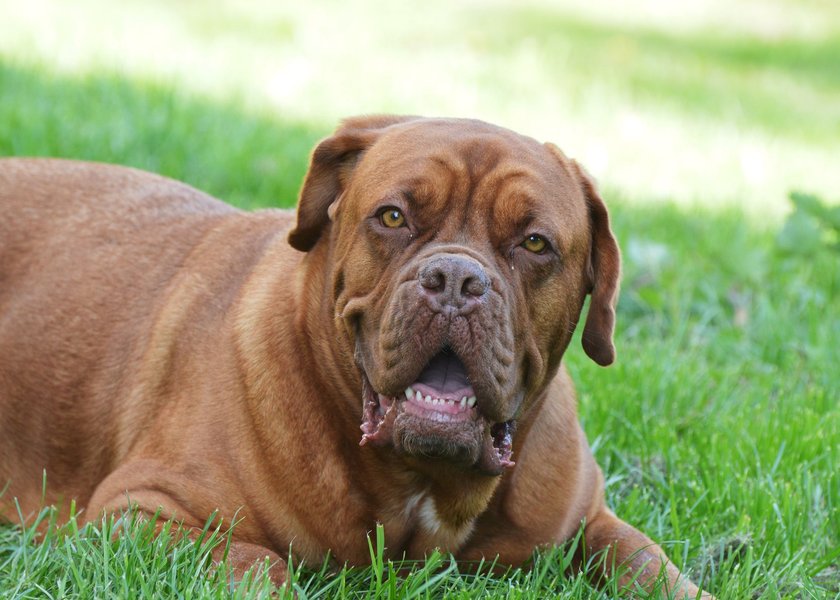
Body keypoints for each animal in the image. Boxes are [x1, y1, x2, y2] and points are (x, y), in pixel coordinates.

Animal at [0, 115, 708, 596]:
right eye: (392, 217)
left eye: (534, 242)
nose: (456, 280)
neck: (424, 488)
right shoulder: (140, 512)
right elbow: (257, 564)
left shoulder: (586, 520)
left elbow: (647, 562)